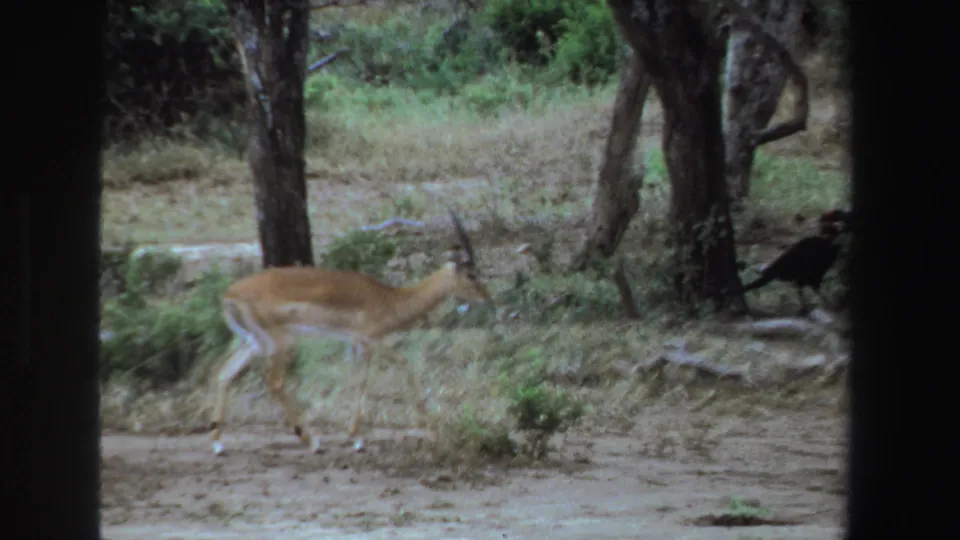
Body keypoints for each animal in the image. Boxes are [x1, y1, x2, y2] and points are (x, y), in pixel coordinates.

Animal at [209, 210, 494, 456]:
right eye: (471, 274)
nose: (487, 297)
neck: (390, 298)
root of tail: (230, 294)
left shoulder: (354, 344)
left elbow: (355, 379)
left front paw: (355, 435)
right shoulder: (370, 341)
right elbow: (394, 369)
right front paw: (362, 438)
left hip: (252, 343)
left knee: (224, 374)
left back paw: (219, 444)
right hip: (281, 343)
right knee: (274, 383)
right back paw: (312, 441)